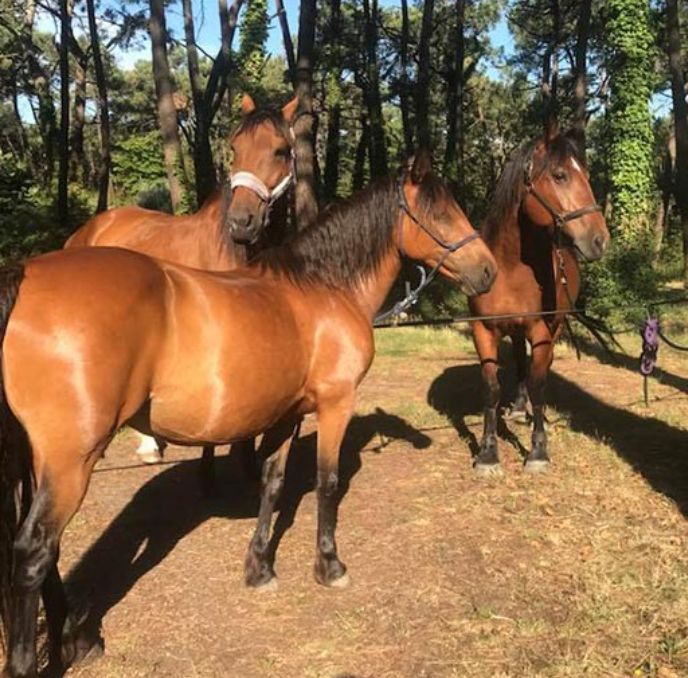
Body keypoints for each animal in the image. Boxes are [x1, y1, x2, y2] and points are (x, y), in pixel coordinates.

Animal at [0, 154, 494, 678]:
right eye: (441, 212)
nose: (488, 271)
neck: (324, 288)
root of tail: (25, 277)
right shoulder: (335, 404)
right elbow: (327, 482)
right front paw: (329, 566)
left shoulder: (286, 415)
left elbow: (272, 484)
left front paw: (259, 568)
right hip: (73, 461)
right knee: (33, 551)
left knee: (47, 552)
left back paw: (77, 640)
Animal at [470, 129, 612, 478]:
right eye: (560, 175)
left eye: (586, 173)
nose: (600, 240)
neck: (509, 268)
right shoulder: (483, 330)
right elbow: (491, 389)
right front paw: (488, 454)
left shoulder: (542, 330)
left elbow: (538, 384)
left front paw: (538, 451)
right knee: (521, 362)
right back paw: (519, 410)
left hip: (555, 327)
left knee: (540, 368)